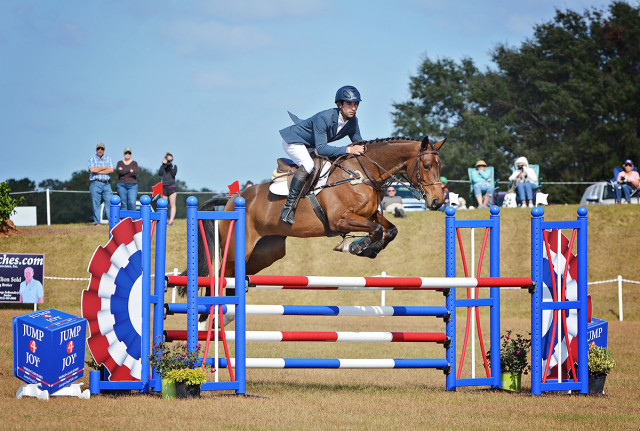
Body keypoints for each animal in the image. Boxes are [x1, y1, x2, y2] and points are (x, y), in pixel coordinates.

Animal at [196, 137, 444, 282]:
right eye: (426, 165)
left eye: (440, 166)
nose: (437, 201)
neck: (362, 173)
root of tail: (232, 198)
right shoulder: (339, 220)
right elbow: (375, 230)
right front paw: (358, 247)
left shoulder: (369, 214)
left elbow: (389, 230)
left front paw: (366, 248)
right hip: (237, 248)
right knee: (220, 277)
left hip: (266, 252)